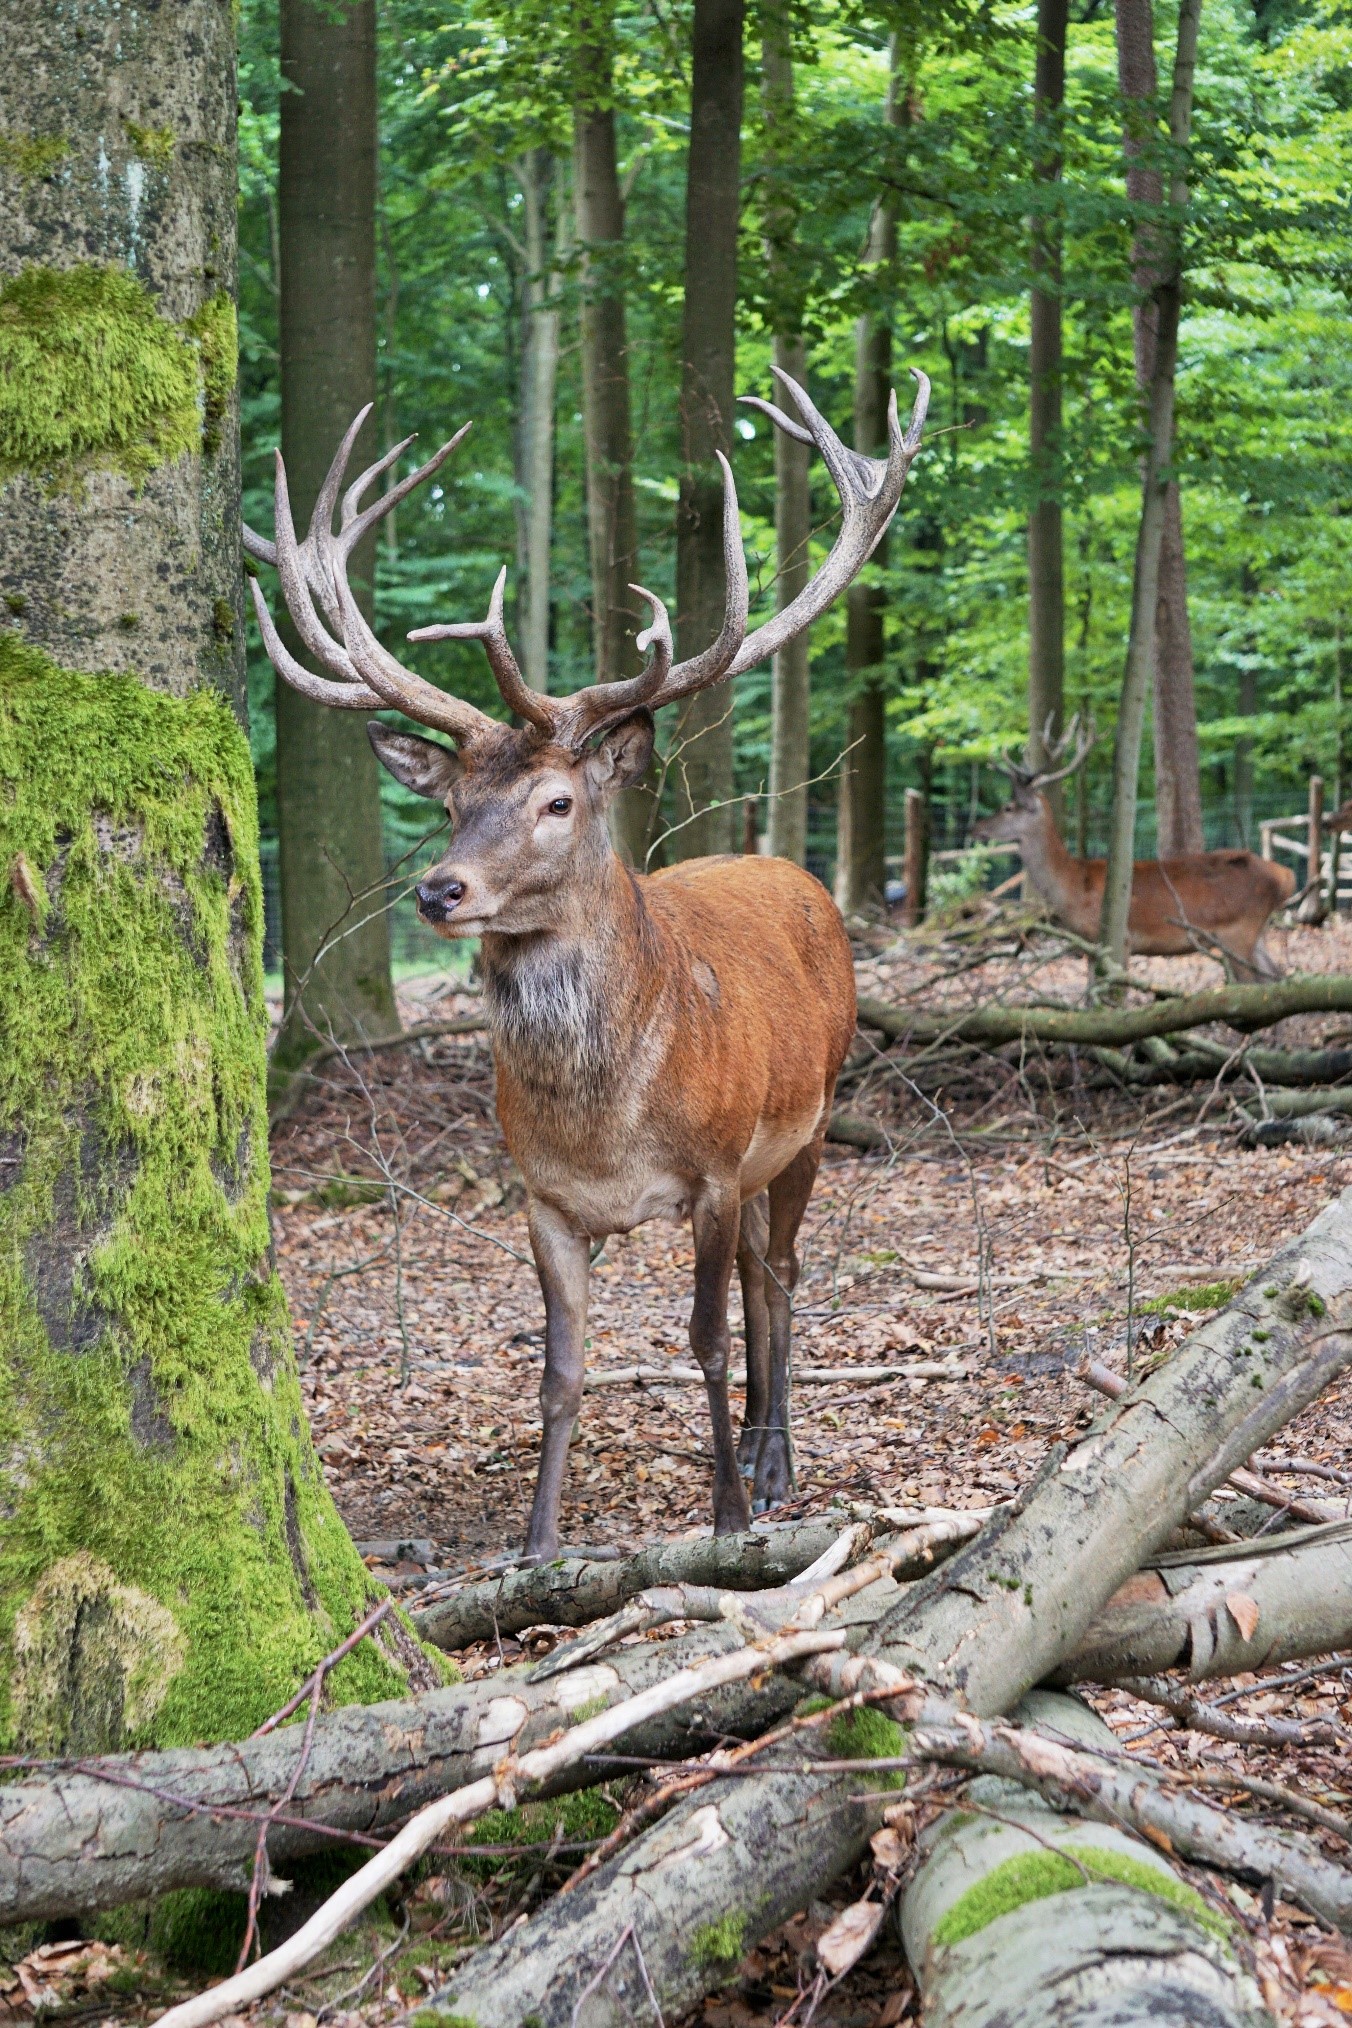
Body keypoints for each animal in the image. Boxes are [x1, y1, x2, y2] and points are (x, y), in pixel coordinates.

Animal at [246, 373, 932, 1557]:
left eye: (557, 801)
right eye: (449, 802)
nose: (439, 891)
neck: (605, 1120)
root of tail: (790, 871)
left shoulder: (711, 1169)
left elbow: (702, 1337)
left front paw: (727, 1518)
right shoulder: (543, 1198)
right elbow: (561, 1372)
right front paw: (535, 1546)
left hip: (808, 1119)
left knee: (778, 1275)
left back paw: (774, 1464)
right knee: (759, 1273)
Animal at [972, 730, 1297, 981]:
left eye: (1008, 807)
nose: (976, 827)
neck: (1072, 886)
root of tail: (1285, 875)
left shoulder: (1119, 939)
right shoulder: (1090, 946)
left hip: (1238, 932)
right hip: (1257, 933)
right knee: (1276, 977)